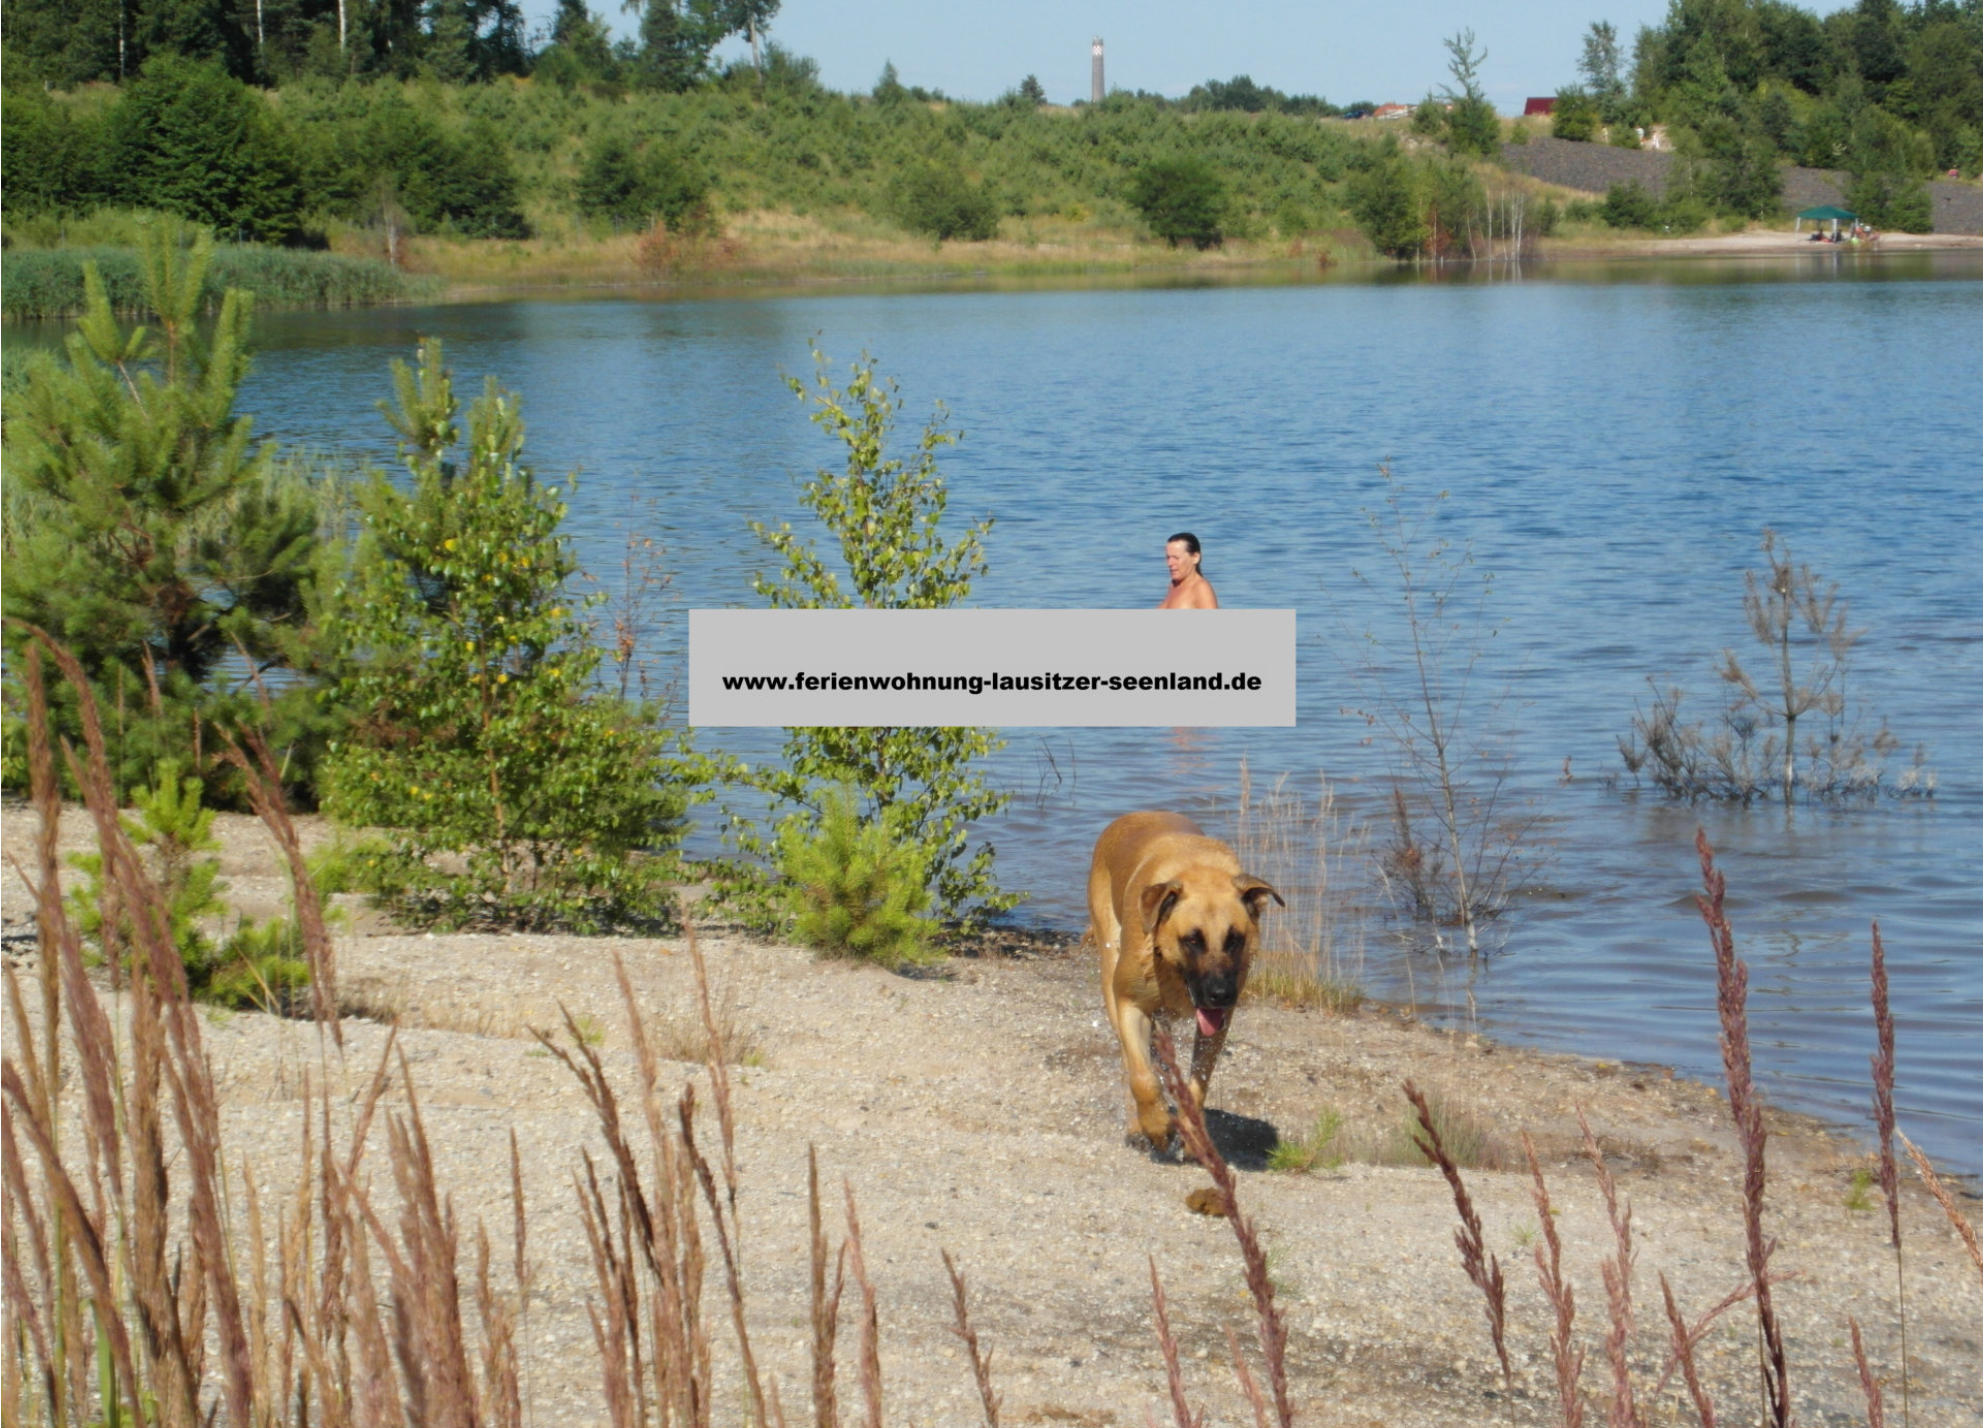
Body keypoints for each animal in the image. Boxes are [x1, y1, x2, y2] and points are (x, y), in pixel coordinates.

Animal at [1087, 813, 1285, 1150]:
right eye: (1192, 940)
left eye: (1234, 939)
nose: (1221, 994)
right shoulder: (1130, 1004)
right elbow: (1141, 1077)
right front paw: (1155, 1124)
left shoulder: (1216, 1026)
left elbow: (1198, 1083)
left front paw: (1192, 1133)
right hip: (1109, 969)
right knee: (1129, 1061)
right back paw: (1137, 1125)